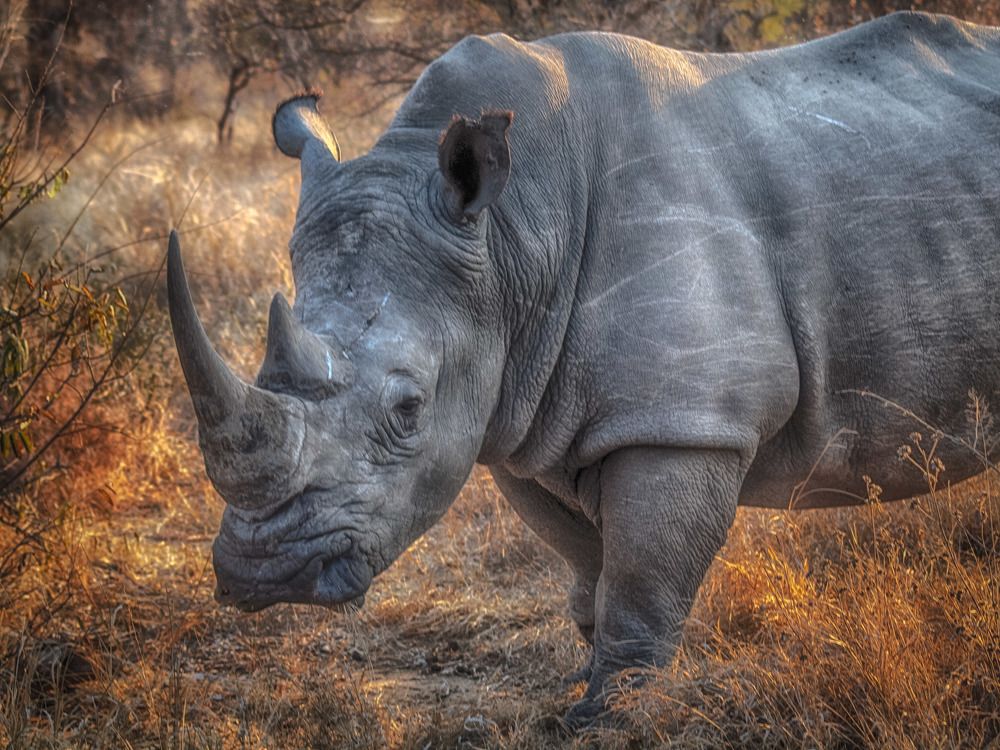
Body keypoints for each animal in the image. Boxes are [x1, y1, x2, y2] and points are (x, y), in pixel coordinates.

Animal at [168, 11, 1000, 725]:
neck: (513, 235)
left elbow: (638, 579)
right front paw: (585, 684)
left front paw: (609, 717)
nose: (261, 574)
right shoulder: (516, 420)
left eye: (407, 409)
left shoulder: (679, 422)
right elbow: (588, 567)